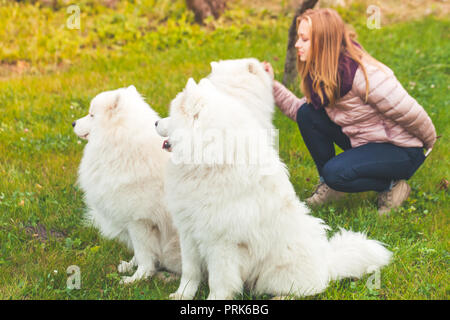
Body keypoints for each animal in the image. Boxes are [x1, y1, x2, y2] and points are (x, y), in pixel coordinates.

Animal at [73, 85, 180, 284]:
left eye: (91, 115)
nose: (73, 123)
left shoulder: (140, 221)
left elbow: (143, 255)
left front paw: (137, 278)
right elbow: (140, 254)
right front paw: (130, 266)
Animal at [156, 58, 392, 300]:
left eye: (171, 115)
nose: (155, 123)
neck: (207, 161)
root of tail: (327, 264)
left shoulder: (222, 244)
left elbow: (218, 283)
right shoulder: (188, 232)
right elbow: (190, 272)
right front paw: (181, 295)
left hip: (278, 269)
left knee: (305, 290)